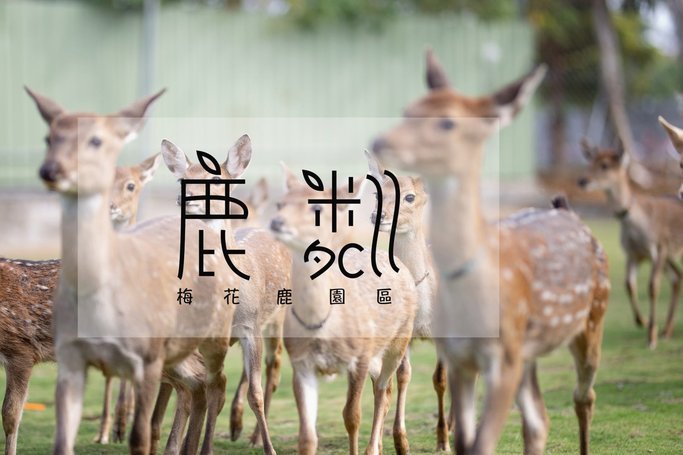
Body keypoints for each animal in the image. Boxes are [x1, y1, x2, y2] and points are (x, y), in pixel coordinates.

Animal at [25, 87, 237, 455]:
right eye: (48, 137)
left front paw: (123, 429)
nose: (51, 170)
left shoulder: (148, 357)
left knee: (215, 382)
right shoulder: (70, 357)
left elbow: (142, 430)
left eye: (131, 186)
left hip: (213, 337)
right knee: (195, 387)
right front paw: (108, 430)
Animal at [160, 135, 290, 455]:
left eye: (217, 178)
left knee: (273, 368)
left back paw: (254, 436)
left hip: (276, 318)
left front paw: (270, 449)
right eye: (181, 179)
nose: (186, 199)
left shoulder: (249, 325)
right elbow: (209, 389)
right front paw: (196, 447)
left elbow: (254, 392)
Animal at [268, 164, 417, 455]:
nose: (276, 222)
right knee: (383, 387)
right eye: (279, 203)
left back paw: (379, 447)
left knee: (385, 388)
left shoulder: (359, 356)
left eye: (317, 208)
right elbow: (307, 435)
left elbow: (352, 416)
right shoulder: (300, 360)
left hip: (399, 338)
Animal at [365, 152, 449, 452]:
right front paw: (401, 442)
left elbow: (440, 379)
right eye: (377, 193)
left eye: (410, 196)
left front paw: (443, 441)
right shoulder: (407, 336)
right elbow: (403, 377)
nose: (378, 215)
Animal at [578, 138, 683, 347]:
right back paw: (667, 330)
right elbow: (629, 284)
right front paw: (643, 321)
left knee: (675, 277)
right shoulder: (631, 253)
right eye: (589, 162)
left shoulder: (659, 246)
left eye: (605, 165)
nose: (583, 180)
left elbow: (652, 287)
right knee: (677, 277)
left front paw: (651, 337)